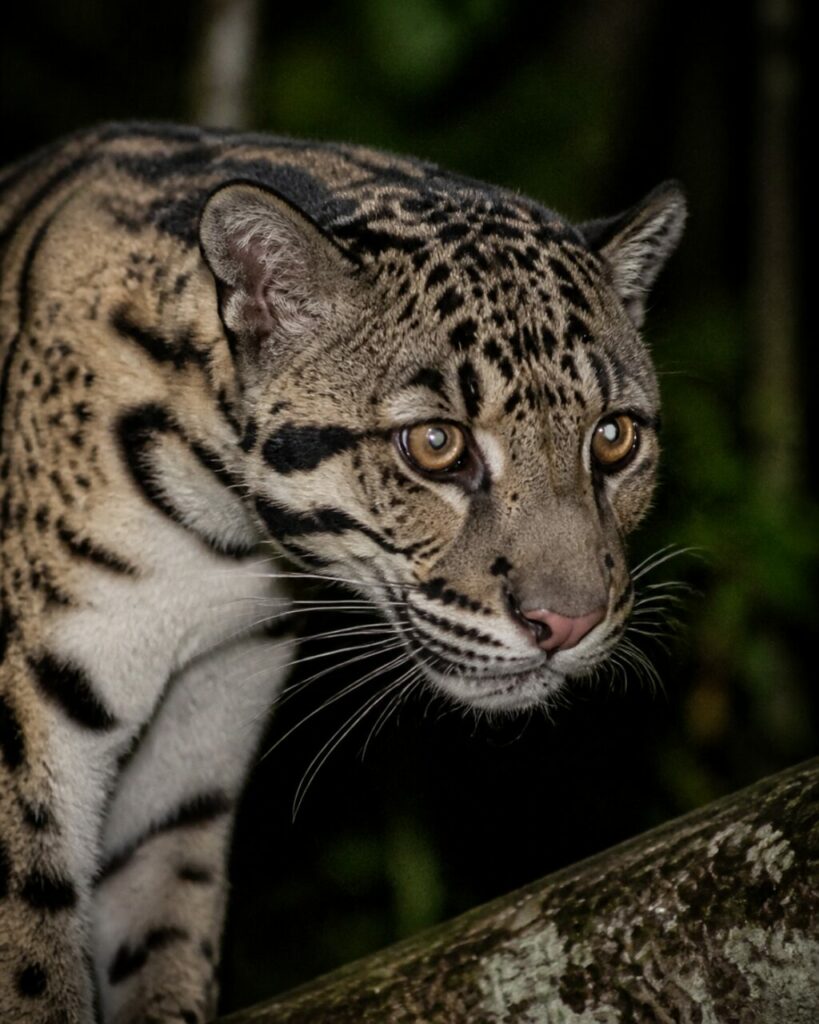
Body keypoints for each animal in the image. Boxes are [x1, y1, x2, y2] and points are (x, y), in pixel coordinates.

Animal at [0, 122, 685, 1023]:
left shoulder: (193, 747)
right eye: (435, 443)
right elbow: (32, 955)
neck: (217, 547)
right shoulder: (22, 720)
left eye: (613, 437)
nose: (566, 623)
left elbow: (164, 936)